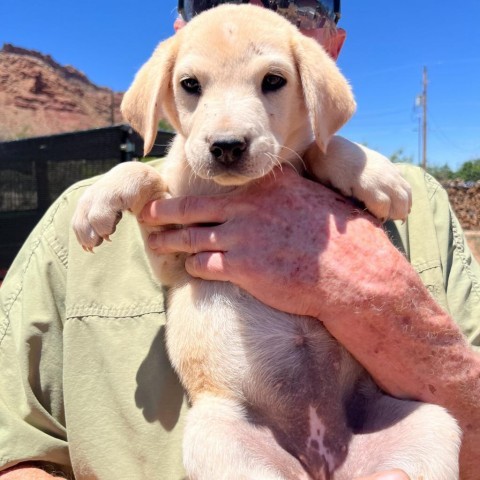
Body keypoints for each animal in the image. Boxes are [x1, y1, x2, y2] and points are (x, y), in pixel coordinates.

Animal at [72, 4, 462, 480]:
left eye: (274, 81)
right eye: (190, 85)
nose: (226, 146)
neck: (233, 189)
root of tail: (322, 457)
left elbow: (319, 146)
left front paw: (374, 172)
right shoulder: (171, 258)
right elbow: (145, 173)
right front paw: (100, 197)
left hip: (433, 422)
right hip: (217, 436)